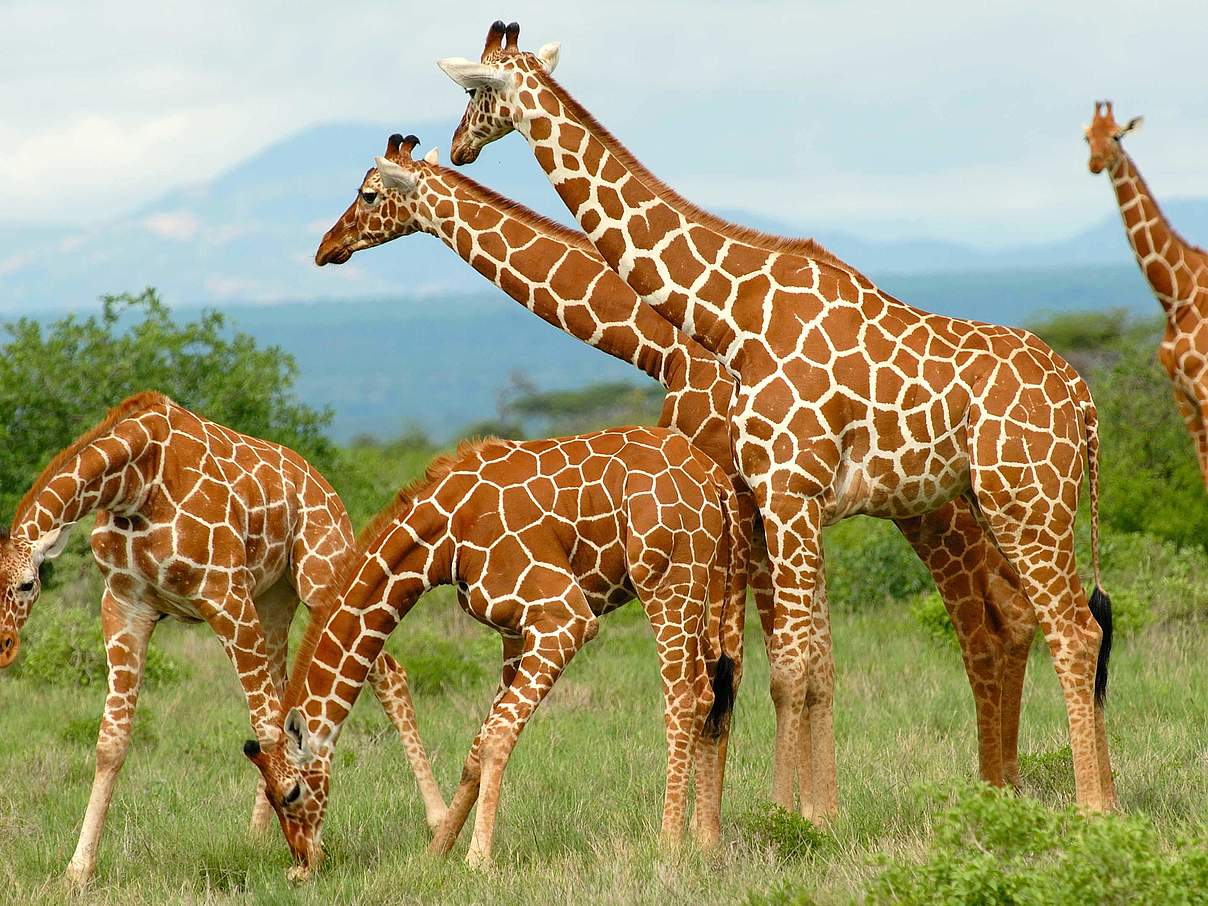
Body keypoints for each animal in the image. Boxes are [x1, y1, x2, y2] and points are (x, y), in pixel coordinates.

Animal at [0, 391, 446, 889]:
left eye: (27, 584)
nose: (4, 646)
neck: (135, 482)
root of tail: (320, 481)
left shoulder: (223, 593)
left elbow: (267, 722)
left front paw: (310, 854)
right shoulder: (123, 604)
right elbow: (111, 741)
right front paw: (78, 871)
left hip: (319, 573)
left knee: (387, 674)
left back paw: (438, 820)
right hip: (273, 599)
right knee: (286, 689)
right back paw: (256, 836)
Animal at [242, 430, 744, 884]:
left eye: (290, 793)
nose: (303, 865)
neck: (442, 538)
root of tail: (714, 482)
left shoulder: (563, 615)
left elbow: (499, 734)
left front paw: (478, 858)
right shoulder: (514, 632)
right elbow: (477, 744)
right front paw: (435, 853)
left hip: (667, 580)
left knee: (683, 699)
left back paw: (670, 844)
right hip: (717, 581)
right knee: (715, 694)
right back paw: (708, 842)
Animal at [434, 19, 1111, 816]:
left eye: (475, 91)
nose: (457, 146)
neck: (734, 312)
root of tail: (1083, 399)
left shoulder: (783, 493)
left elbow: (783, 669)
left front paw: (791, 819)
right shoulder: (790, 501)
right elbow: (804, 664)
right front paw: (813, 813)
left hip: (1026, 502)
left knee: (1069, 630)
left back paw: (1091, 808)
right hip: (1005, 503)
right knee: (1056, 622)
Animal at [1087, 99, 1208, 490]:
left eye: (1117, 135)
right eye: (1086, 137)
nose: (1096, 163)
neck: (1177, 295)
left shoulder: (1204, 387)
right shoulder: (1182, 396)